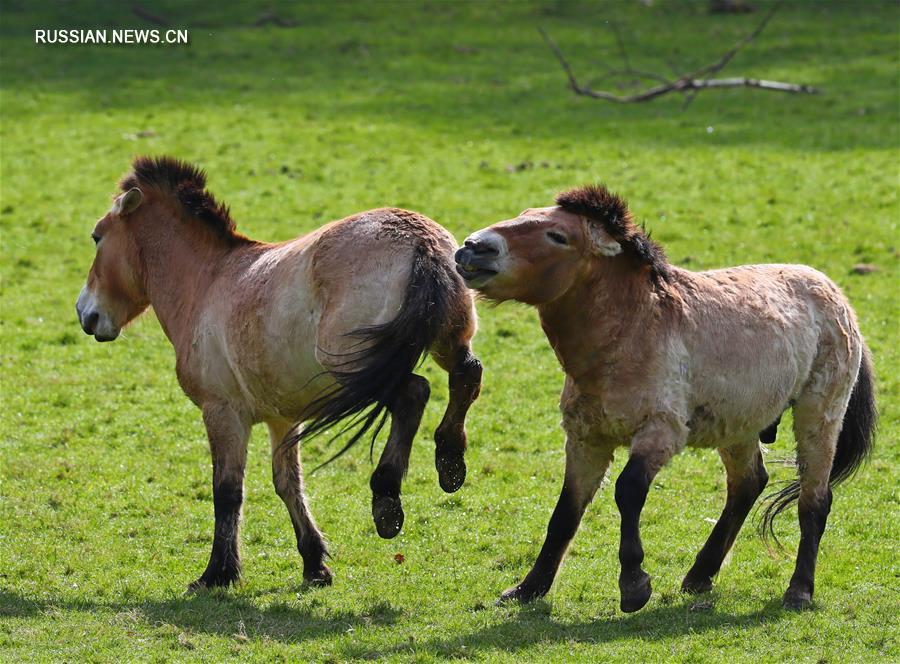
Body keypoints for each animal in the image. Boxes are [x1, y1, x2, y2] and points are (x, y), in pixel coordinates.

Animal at [75, 157, 486, 592]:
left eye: (97, 237)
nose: (86, 313)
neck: (208, 281)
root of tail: (419, 241)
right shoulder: (282, 418)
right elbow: (288, 484)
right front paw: (314, 563)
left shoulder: (223, 412)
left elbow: (227, 492)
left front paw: (217, 572)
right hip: (447, 339)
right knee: (466, 374)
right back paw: (450, 461)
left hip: (357, 368)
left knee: (414, 394)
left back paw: (387, 498)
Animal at [454, 185, 876, 612]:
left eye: (557, 236)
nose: (473, 248)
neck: (629, 332)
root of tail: (836, 295)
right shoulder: (586, 440)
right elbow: (566, 511)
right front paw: (529, 588)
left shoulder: (661, 432)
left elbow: (628, 490)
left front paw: (634, 585)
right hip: (739, 424)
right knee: (748, 484)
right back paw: (700, 575)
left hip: (819, 414)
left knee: (814, 499)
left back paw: (799, 590)